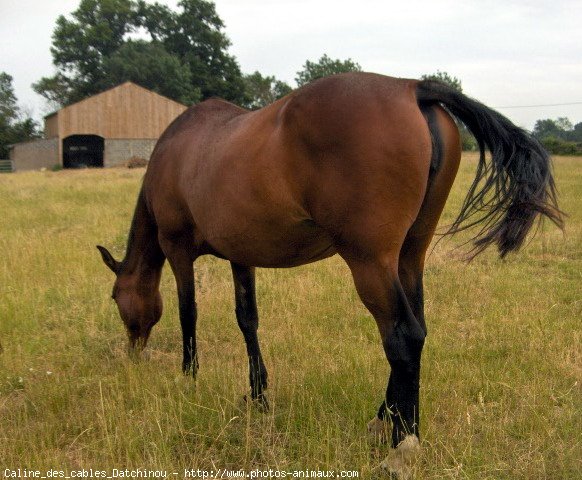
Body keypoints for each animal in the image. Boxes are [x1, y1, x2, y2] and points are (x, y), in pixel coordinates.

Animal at [98, 73, 564, 466]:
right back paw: (383, 418)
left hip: (370, 261)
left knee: (402, 336)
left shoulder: (177, 251)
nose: (133, 353)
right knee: (417, 328)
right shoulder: (241, 255)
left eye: (116, 297)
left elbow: (187, 313)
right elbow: (247, 319)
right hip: (409, 256)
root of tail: (412, 87)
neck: (178, 151)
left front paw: (189, 377)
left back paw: (403, 441)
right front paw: (258, 395)